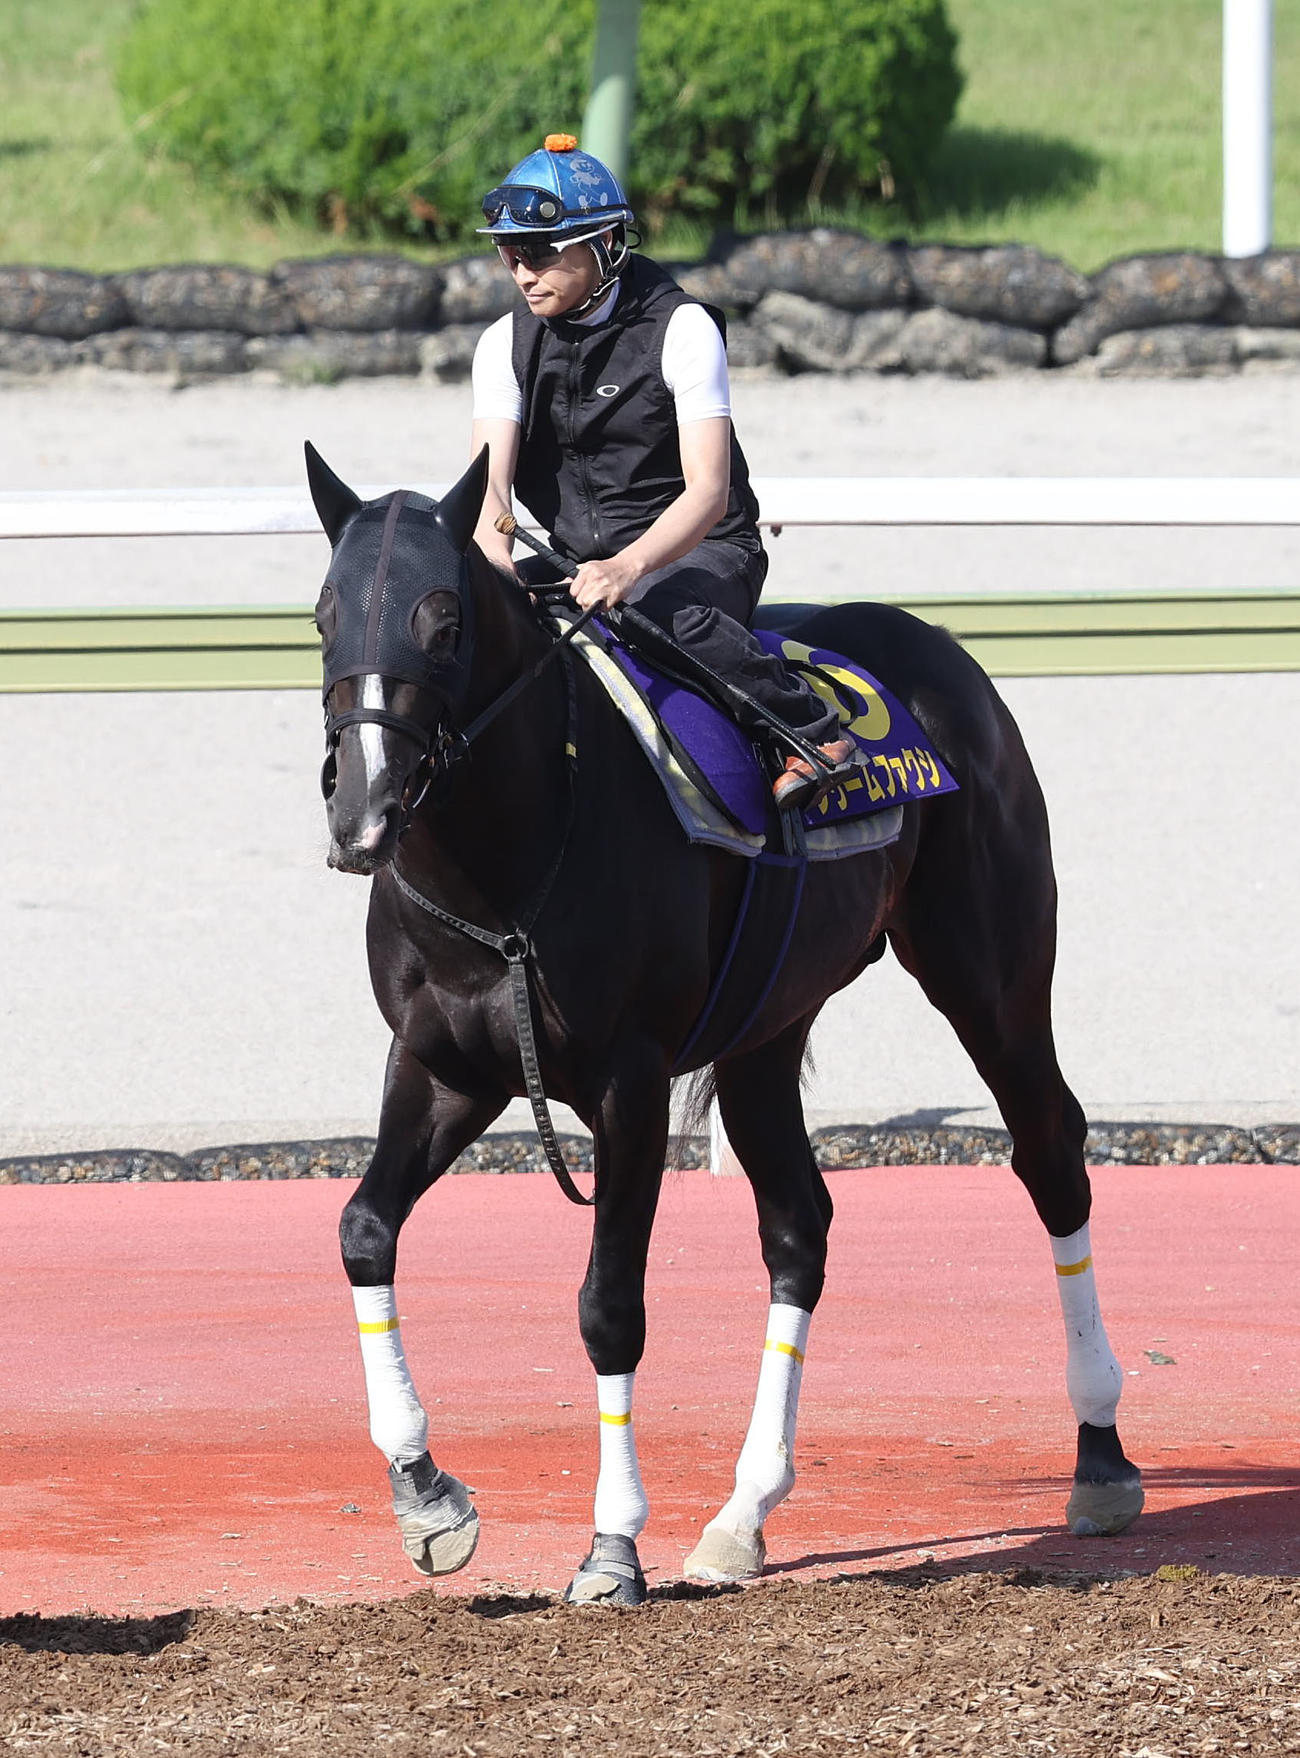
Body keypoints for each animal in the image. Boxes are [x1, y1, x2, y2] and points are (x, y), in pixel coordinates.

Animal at [305, 441, 1144, 1605]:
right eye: (324, 615)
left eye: (444, 620)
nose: (364, 812)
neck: (505, 867)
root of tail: (937, 648)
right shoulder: (442, 1066)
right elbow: (364, 1232)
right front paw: (428, 1495)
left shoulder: (629, 1084)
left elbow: (609, 1303)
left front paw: (612, 1545)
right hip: (766, 1027)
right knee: (798, 1225)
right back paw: (743, 1513)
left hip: (990, 969)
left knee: (1051, 1152)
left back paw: (1101, 1453)